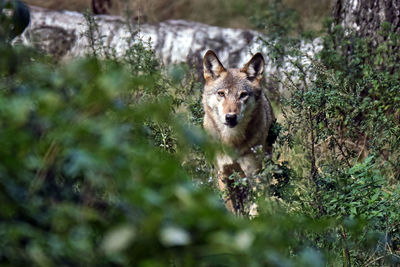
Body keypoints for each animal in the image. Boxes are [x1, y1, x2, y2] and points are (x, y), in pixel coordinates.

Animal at [203, 50, 276, 216]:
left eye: (243, 95)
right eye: (221, 94)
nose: (230, 117)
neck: (232, 140)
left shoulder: (254, 174)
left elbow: (255, 208)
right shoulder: (223, 175)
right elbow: (231, 209)